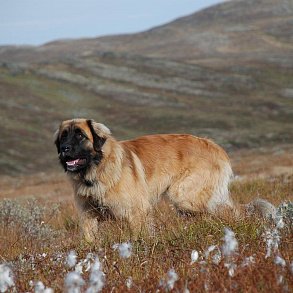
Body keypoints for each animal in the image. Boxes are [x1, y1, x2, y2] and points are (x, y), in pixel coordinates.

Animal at [54, 118, 276, 240]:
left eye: (80, 135)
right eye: (64, 136)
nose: (64, 149)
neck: (97, 170)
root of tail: (215, 146)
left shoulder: (137, 212)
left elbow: (139, 238)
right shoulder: (88, 216)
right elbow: (90, 240)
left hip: (185, 196)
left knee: (228, 213)